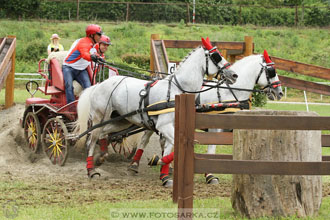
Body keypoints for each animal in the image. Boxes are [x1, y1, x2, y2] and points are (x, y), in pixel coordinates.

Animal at [74, 37, 237, 187]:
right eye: (216, 56)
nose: (234, 75)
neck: (177, 91)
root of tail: (99, 84)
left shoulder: (172, 127)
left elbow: (171, 149)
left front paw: (164, 175)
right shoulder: (163, 126)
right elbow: (176, 146)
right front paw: (156, 162)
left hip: (121, 121)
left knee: (105, 134)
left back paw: (101, 157)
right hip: (99, 117)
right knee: (92, 139)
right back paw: (91, 170)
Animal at [134, 49, 284, 184]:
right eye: (271, 71)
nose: (280, 92)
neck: (229, 93)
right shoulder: (214, 128)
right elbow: (211, 149)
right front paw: (209, 176)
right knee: (146, 139)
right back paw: (137, 163)